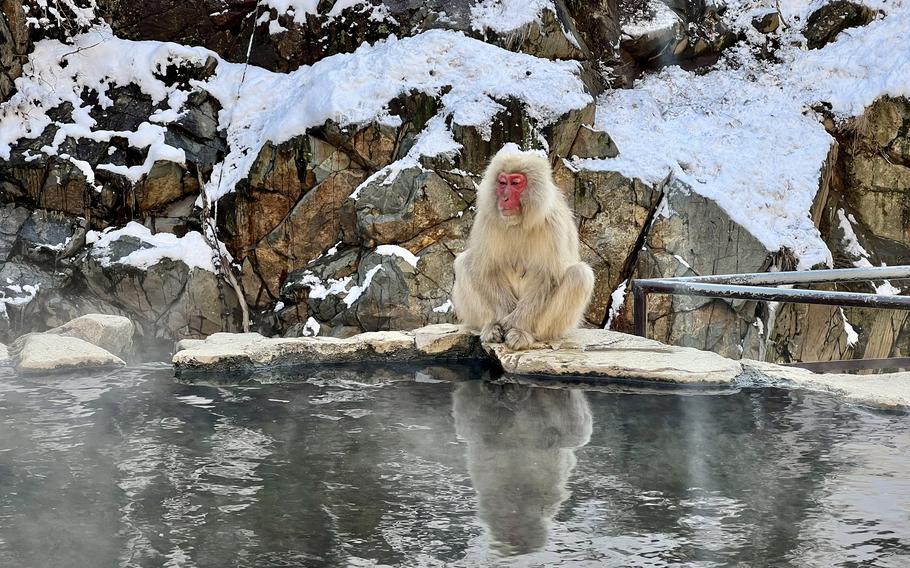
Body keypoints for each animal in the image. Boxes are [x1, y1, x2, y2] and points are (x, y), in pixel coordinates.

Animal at [452, 145, 596, 350]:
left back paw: (525, 333)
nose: (504, 198)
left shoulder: (554, 224)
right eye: (502, 182)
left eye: (515, 183)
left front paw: (514, 324)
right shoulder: (486, 219)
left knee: (580, 275)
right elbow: (485, 270)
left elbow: (549, 278)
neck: (518, 223)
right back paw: (490, 326)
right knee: (465, 263)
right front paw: (501, 320)